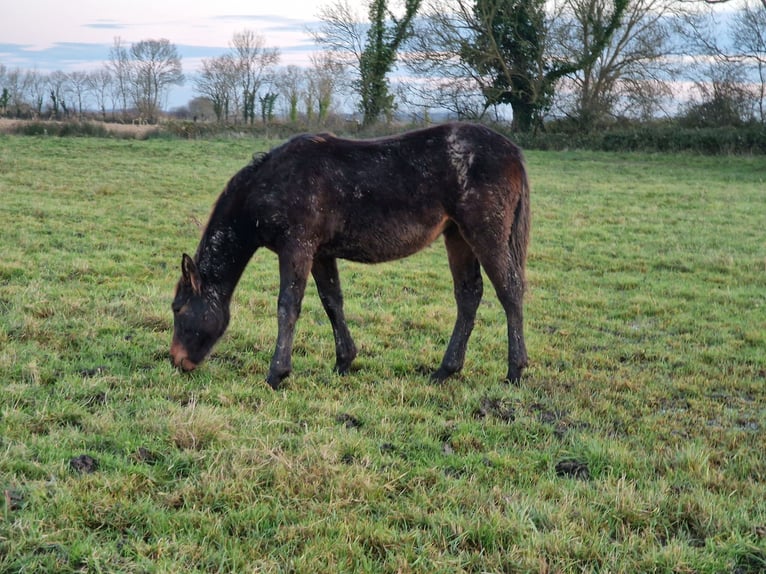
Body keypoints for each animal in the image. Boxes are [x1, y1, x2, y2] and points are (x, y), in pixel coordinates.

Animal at [170, 122, 532, 392]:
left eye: (178, 309)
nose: (177, 361)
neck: (272, 182)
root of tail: (513, 151)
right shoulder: (320, 253)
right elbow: (332, 302)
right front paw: (344, 361)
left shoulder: (297, 248)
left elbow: (288, 307)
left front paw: (277, 374)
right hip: (457, 235)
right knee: (468, 295)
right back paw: (446, 370)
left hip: (484, 234)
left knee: (510, 291)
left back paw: (515, 371)